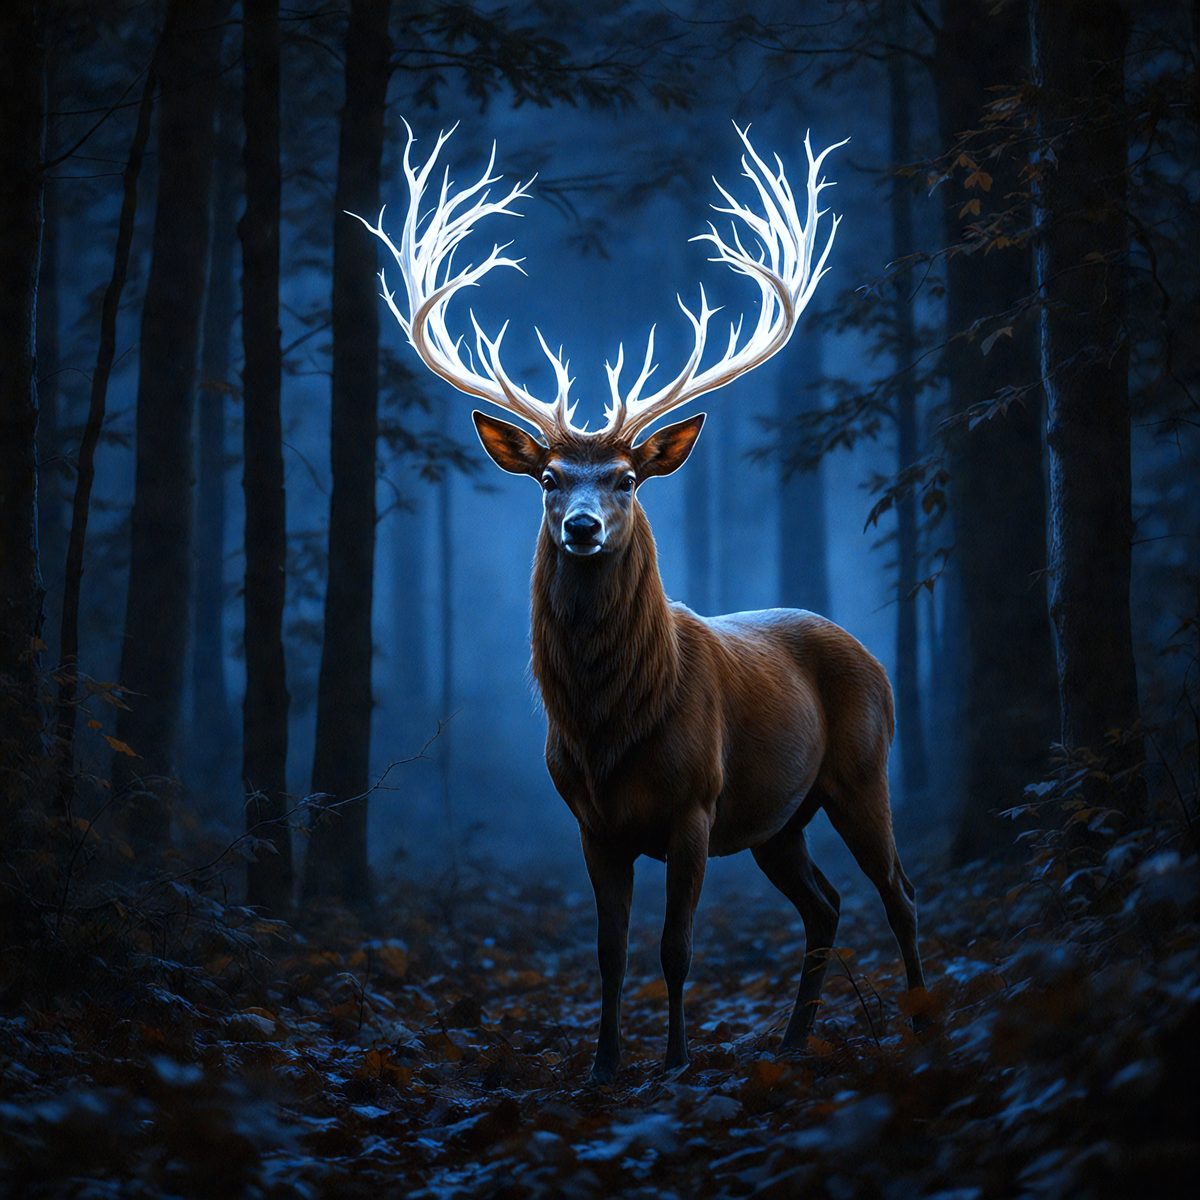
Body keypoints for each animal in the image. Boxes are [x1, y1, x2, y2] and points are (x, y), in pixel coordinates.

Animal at [356, 121, 927, 1083]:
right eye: (550, 477)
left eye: (625, 478)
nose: (584, 527)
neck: (610, 725)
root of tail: (866, 652)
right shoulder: (592, 823)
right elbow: (610, 950)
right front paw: (605, 1065)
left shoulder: (696, 802)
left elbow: (675, 947)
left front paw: (676, 1064)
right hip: (780, 820)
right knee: (825, 904)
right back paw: (795, 1040)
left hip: (862, 769)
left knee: (899, 892)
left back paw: (929, 1023)